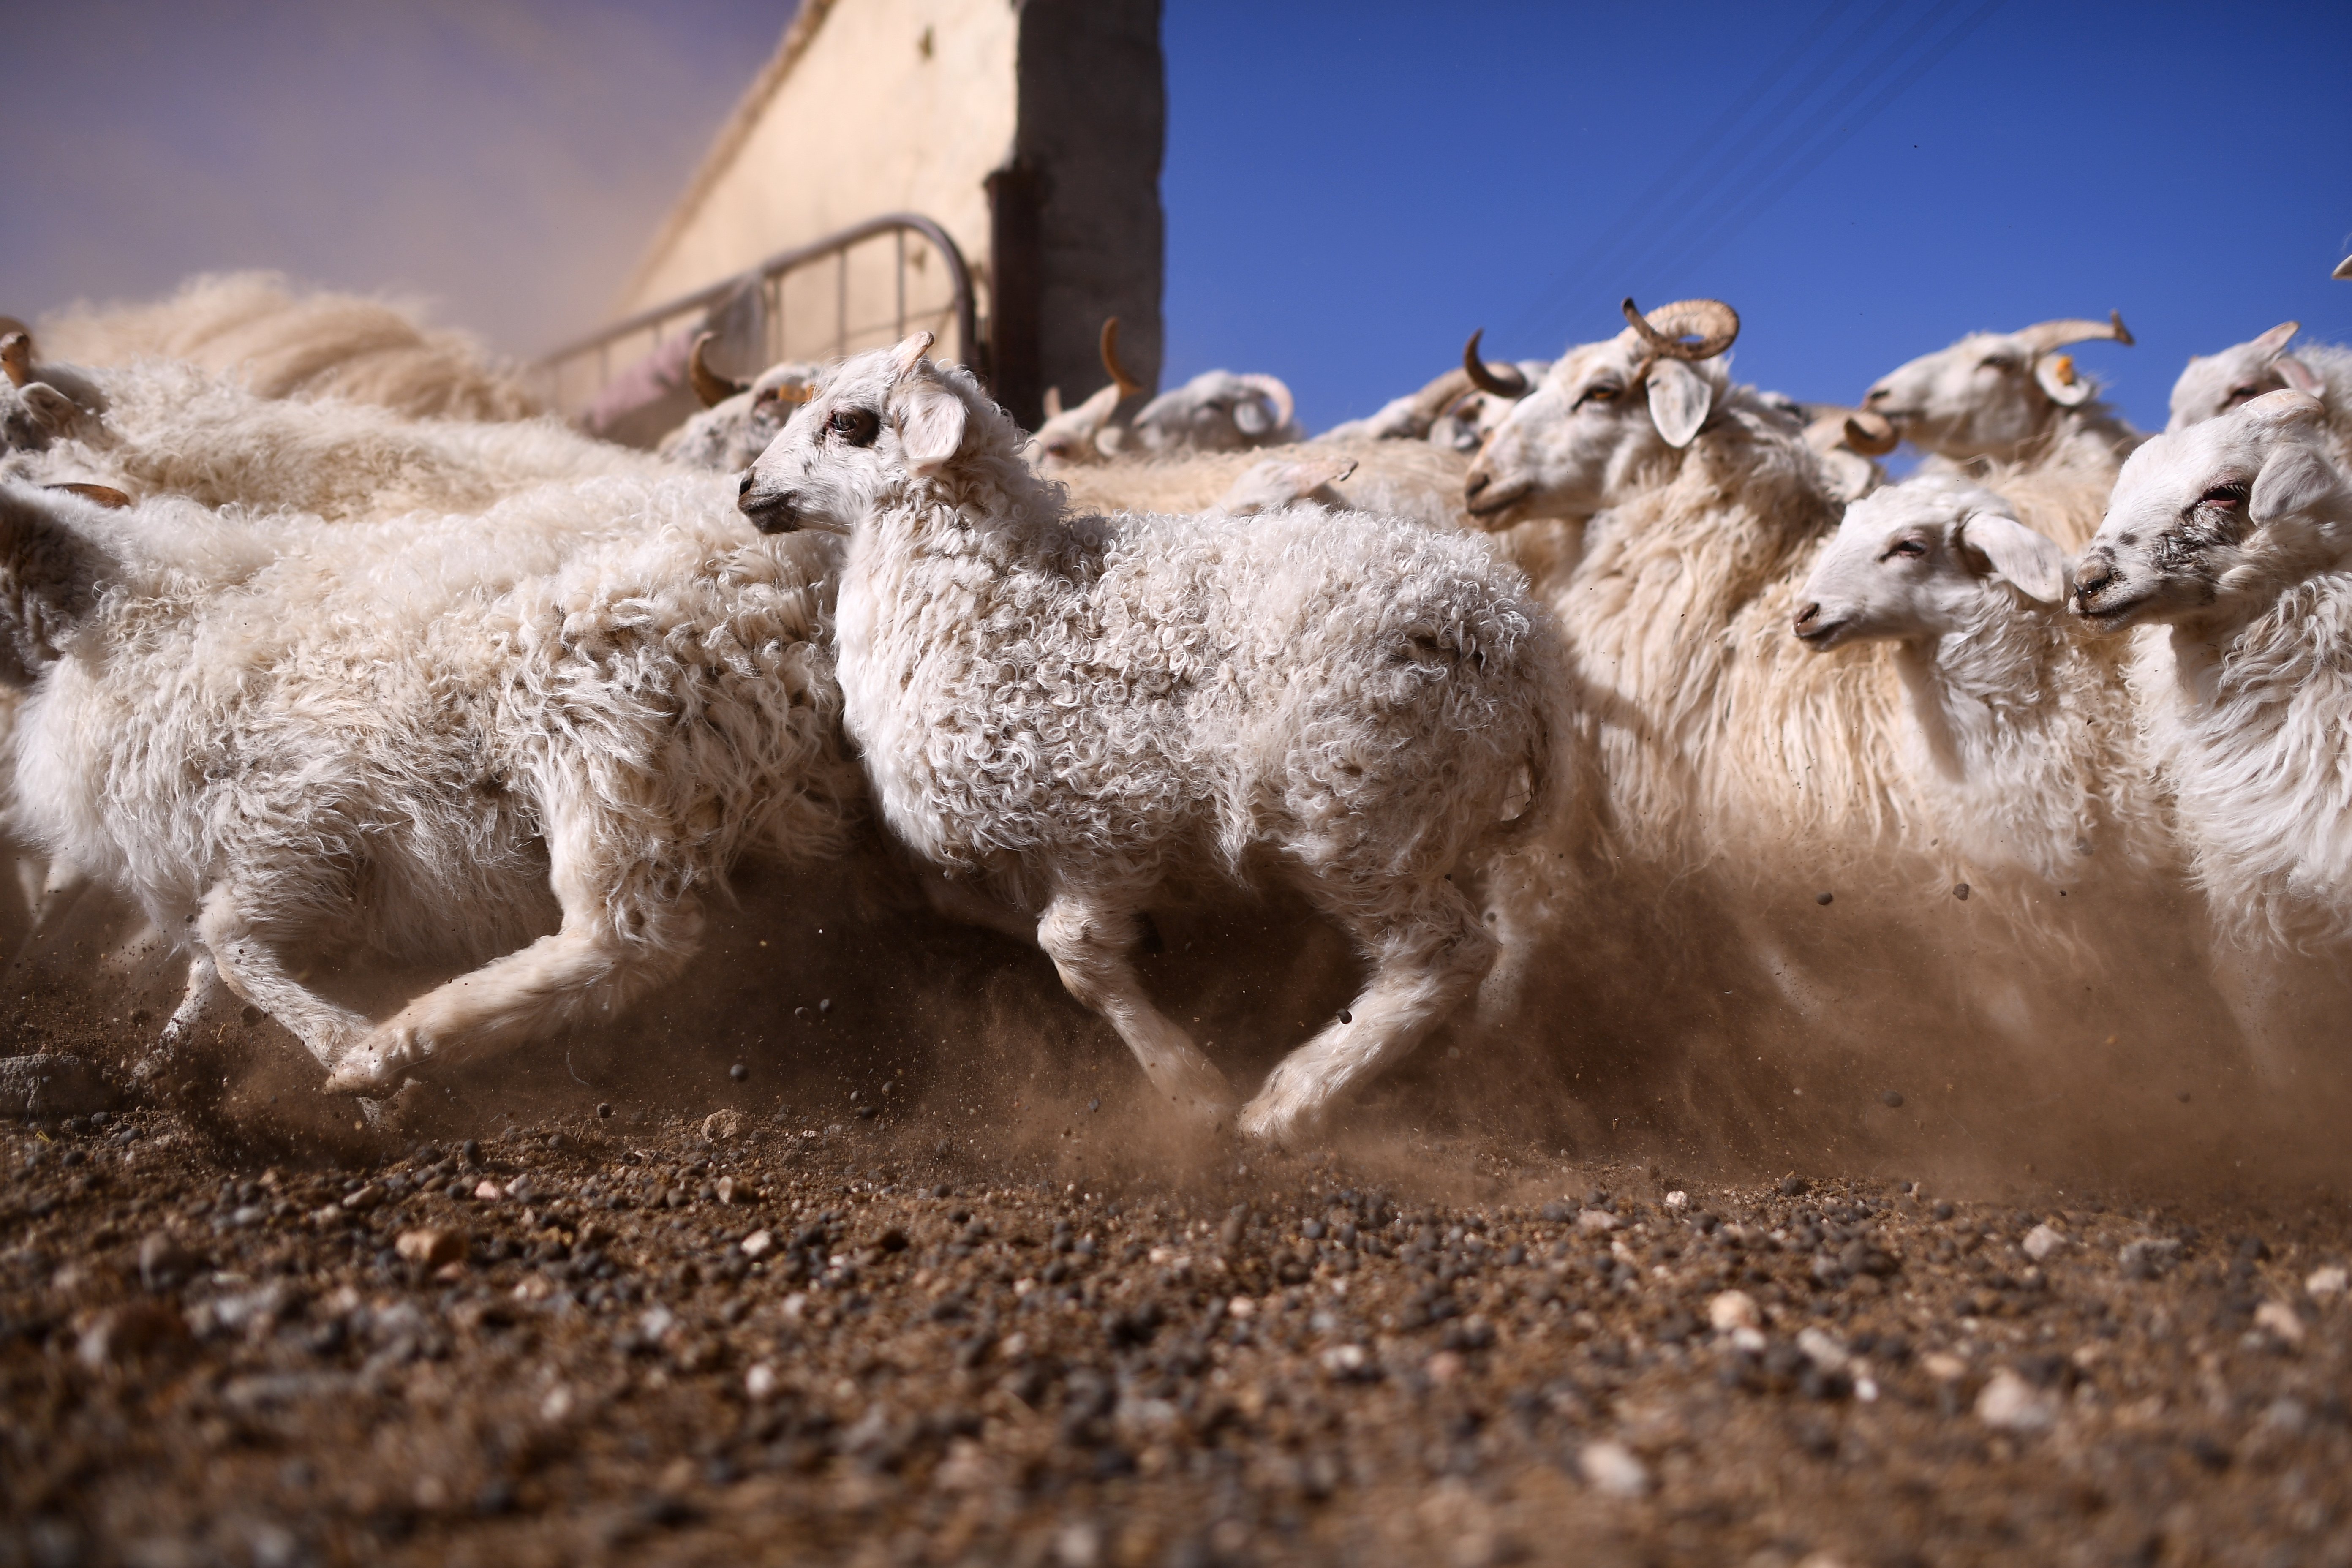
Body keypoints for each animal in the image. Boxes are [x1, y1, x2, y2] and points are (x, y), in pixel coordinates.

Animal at [0, 472, 860, 1100]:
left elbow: (230, 947)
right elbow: (209, 970)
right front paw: (162, 1056)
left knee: (629, 939)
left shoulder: (295, 814)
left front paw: (340, 1045)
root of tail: (807, 589)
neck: (147, 615)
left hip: (589, 716)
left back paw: (398, 1047)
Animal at [734, 334, 1562, 1142]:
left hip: (1360, 812)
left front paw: (1191, 1090)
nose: (745, 488)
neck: (996, 592)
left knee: (1446, 953)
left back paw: (1290, 1104)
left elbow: (1075, 957)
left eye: (849, 422)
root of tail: (1509, 627)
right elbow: (969, 905)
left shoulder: (1105, 822)